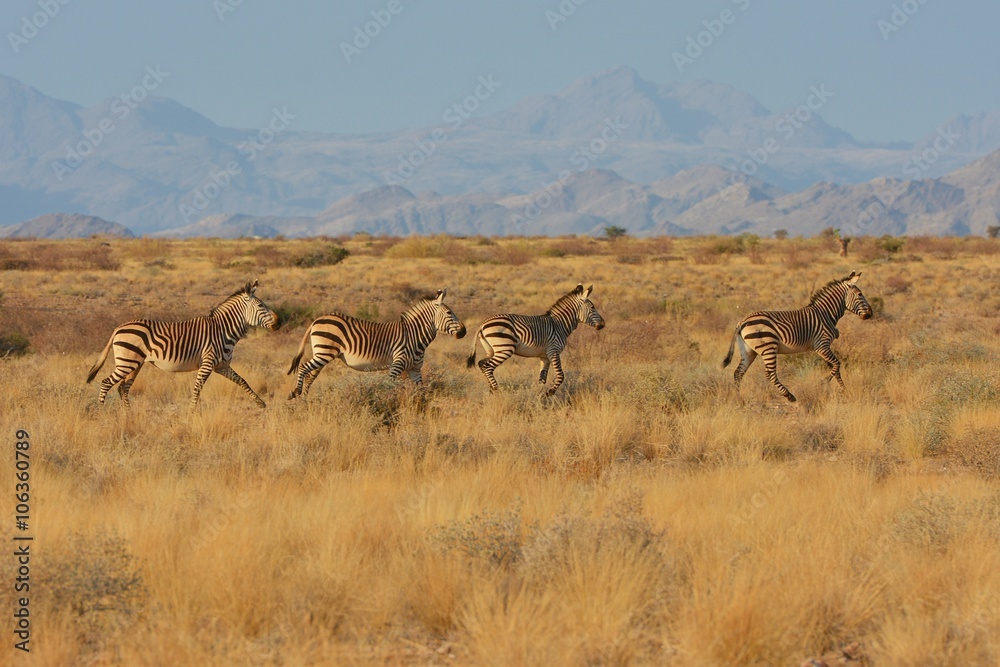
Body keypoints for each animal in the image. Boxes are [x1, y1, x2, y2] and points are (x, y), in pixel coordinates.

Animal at [86, 279, 279, 409]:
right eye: (261, 306)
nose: (279, 322)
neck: (223, 330)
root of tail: (119, 327)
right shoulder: (208, 363)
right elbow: (197, 389)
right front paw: (192, 413)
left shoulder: (222, 366)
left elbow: (243, 381)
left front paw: (260, 403)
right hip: (127, 362)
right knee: (106, 383)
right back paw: (103, 414)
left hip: (135, 364)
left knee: (122, 388)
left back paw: (128, 416)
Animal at [286, 289, 466, 399]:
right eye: (449, 313)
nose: (464, 331)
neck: (414, 336)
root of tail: (316, 319)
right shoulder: (397, 364)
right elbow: (389, 385)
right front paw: (389, 401)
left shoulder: (414, 369)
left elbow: (421, 390)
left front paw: (422, 407)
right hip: (324, 352)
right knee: (303, 367)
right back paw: (295, 392)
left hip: (322, 353)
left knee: (311, 375)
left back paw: (304, 400)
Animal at [466, 283, 605, 396]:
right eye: (592, 307)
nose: (603, 324)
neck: (559, 324)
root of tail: (482, 324)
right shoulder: (553, 351)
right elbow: (561, 375)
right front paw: (549, 392)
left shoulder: (544, 356)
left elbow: (542, 378)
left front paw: (538, 394)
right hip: (505, 349)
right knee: (488, 366)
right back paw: (497, 391)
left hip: (492, 350)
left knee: (482, 364)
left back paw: (491, 390)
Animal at [722, 271, 873, 402]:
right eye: (860, 294)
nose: (871, 314)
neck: (825, 314)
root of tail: (742, 322)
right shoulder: (822, 346)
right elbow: (837, 364)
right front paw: (822, 383)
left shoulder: (824, 348)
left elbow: (835, 369)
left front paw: (843, 390)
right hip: (768, 347)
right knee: (770, 373)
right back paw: (789, 396)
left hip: (748, 351)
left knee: (738, 373)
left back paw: (739, 399)